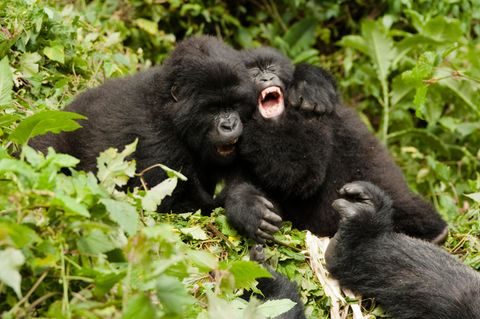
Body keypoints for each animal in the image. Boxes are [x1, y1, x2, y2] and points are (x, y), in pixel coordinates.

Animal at [29, 36, 255, 214]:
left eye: (234, 104)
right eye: (212, 108)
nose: (229, 125)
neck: (167, 108)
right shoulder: (159, 142)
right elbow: (169, 205)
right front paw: (245, 206)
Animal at [227, 48, 448, 245]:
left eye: (271, 68)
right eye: (253, 73)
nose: (266, 78)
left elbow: (299, 172)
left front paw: (310, 83)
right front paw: (249, 208)